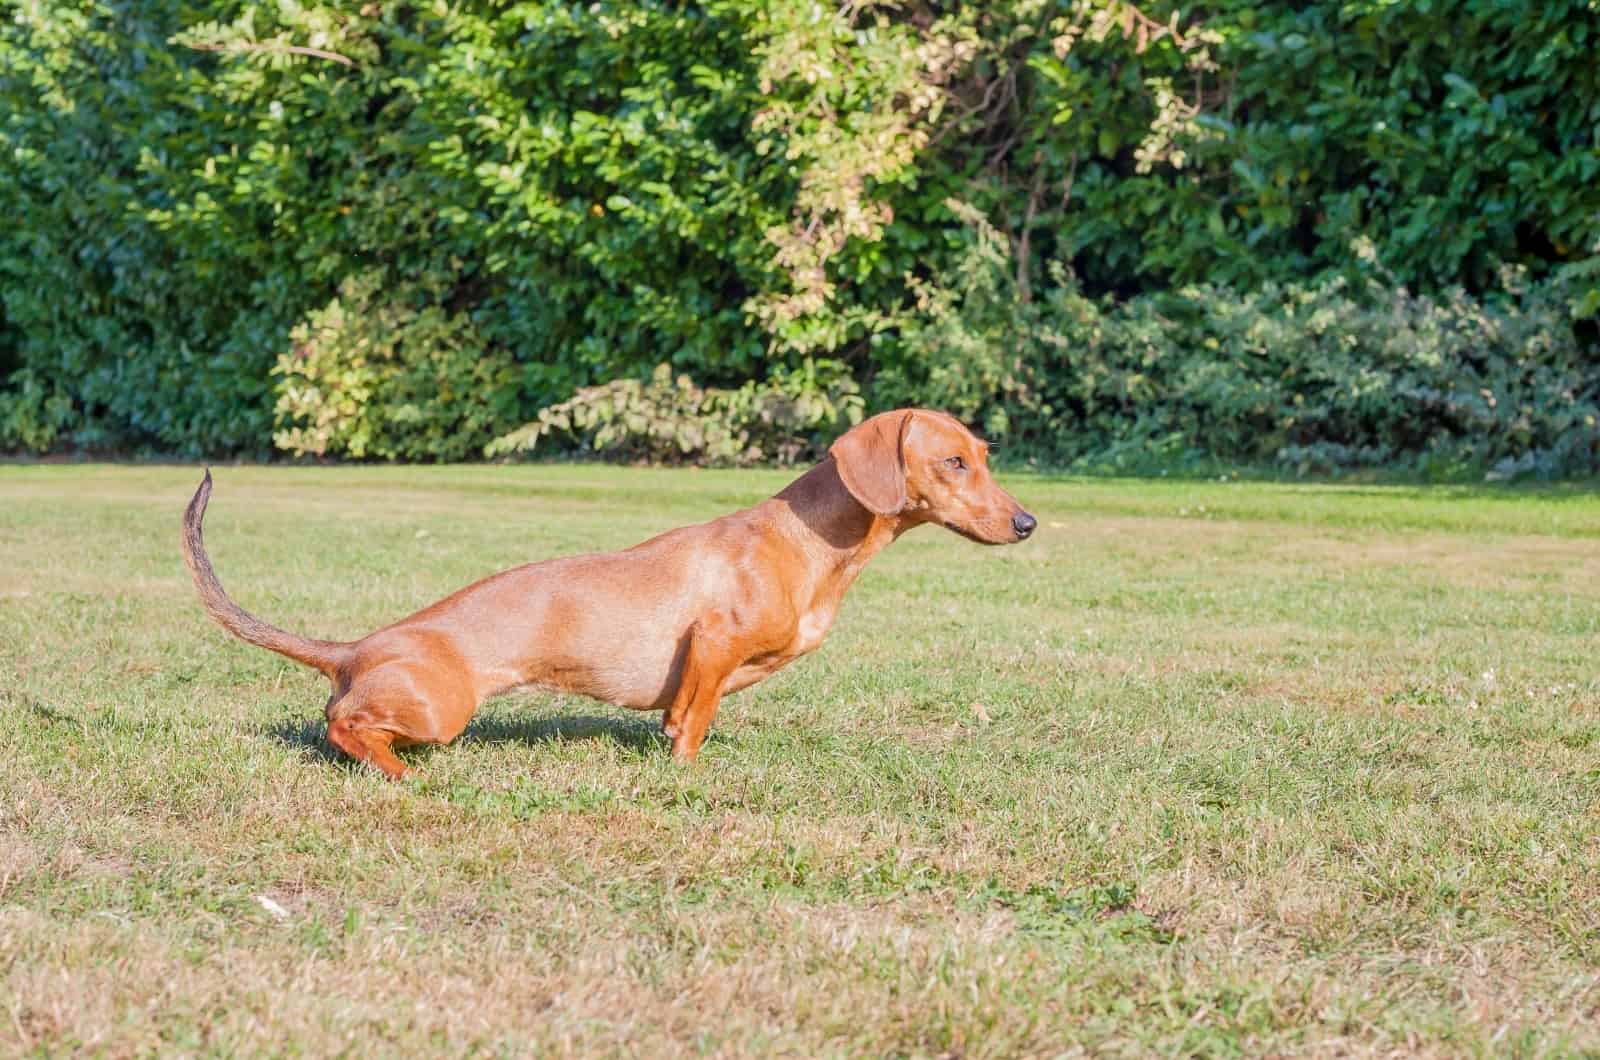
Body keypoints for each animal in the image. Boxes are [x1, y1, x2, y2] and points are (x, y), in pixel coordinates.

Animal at [184, 408, 1036, 781]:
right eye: (953, 462)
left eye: (985, 454)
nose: (1028, 523)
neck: (808, 542)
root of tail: (358, 647)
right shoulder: (712, 642)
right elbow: (693, 722)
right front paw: (685, 772)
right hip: (441, 710)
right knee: (342, 724)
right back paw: (393, 771)